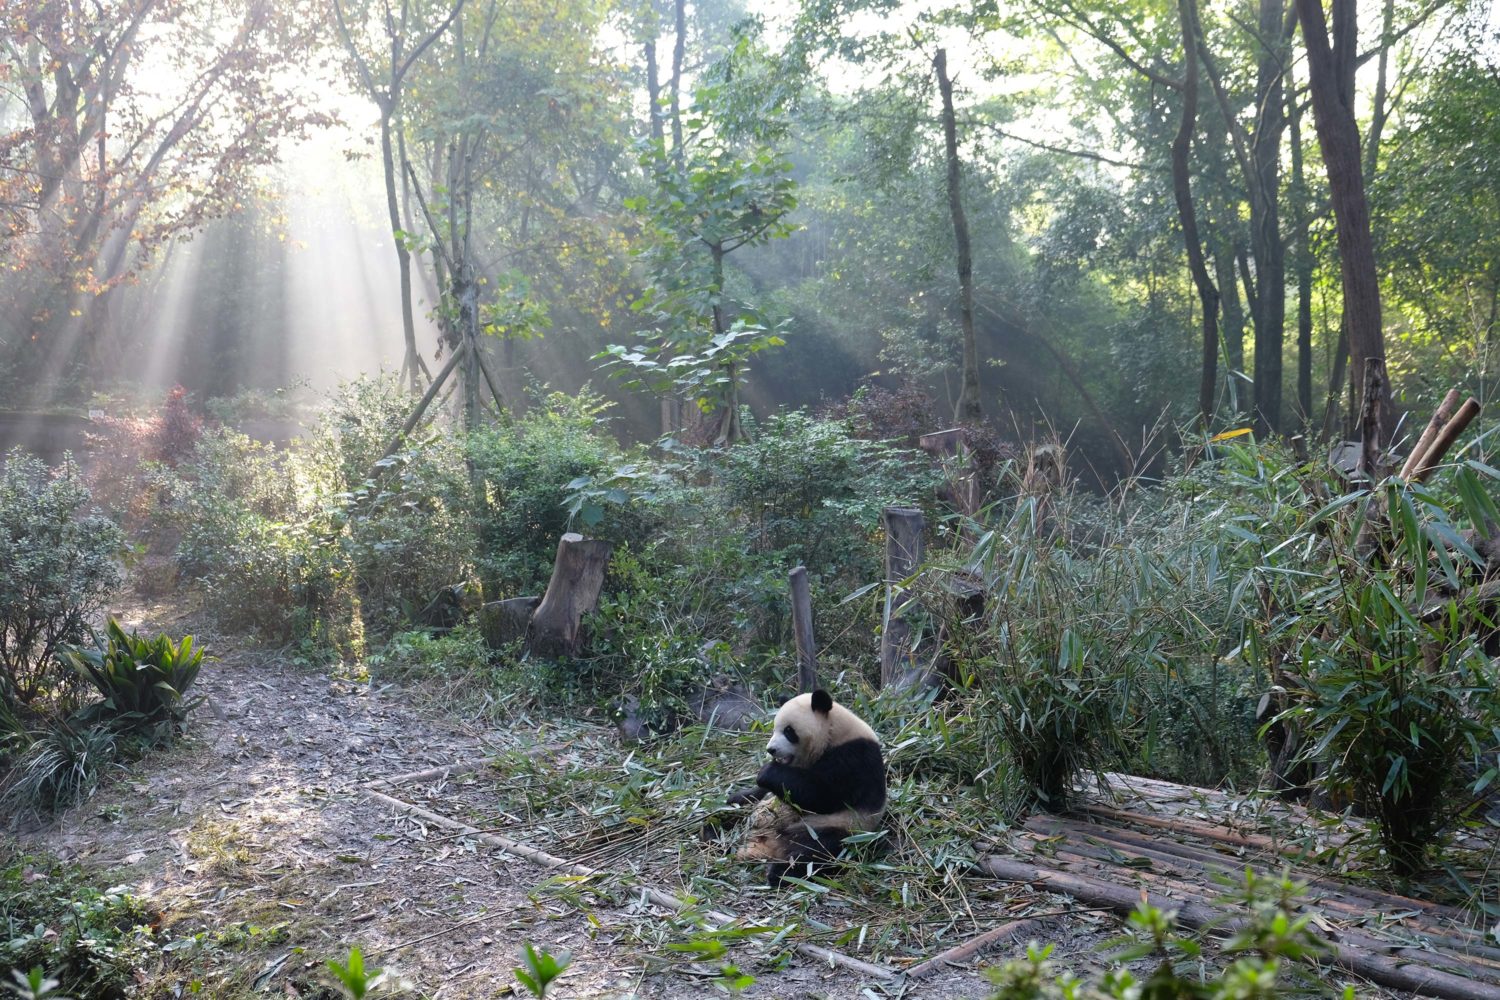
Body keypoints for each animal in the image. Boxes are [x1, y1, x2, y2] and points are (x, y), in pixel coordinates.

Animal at [723, 692, 876, 887]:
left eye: (789, 731)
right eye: (774, 729)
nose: (771, 749)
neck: (833, 732)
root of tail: (768, 844)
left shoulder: (853, 758)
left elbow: (821, 796)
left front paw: (767, 771)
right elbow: (764, 791)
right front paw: (737, 796)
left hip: (838, 828)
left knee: (818, 851)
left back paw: (780, 873)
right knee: (727, 820)